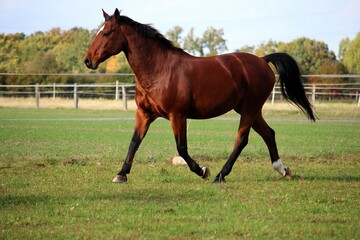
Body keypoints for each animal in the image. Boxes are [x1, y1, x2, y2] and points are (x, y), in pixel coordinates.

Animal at [84, 8, 316, 183]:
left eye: (106, 33)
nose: (87, 60)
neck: (160, 70)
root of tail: (262, 60)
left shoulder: (177, 115)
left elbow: (181, 148)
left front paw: (203, 170)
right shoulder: (144, 114)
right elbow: (134, 142)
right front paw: (121, 174)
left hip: (249, 109)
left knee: (242, 139)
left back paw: (220, 175)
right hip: (250, 109)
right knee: (269, 134)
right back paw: (282, 169)